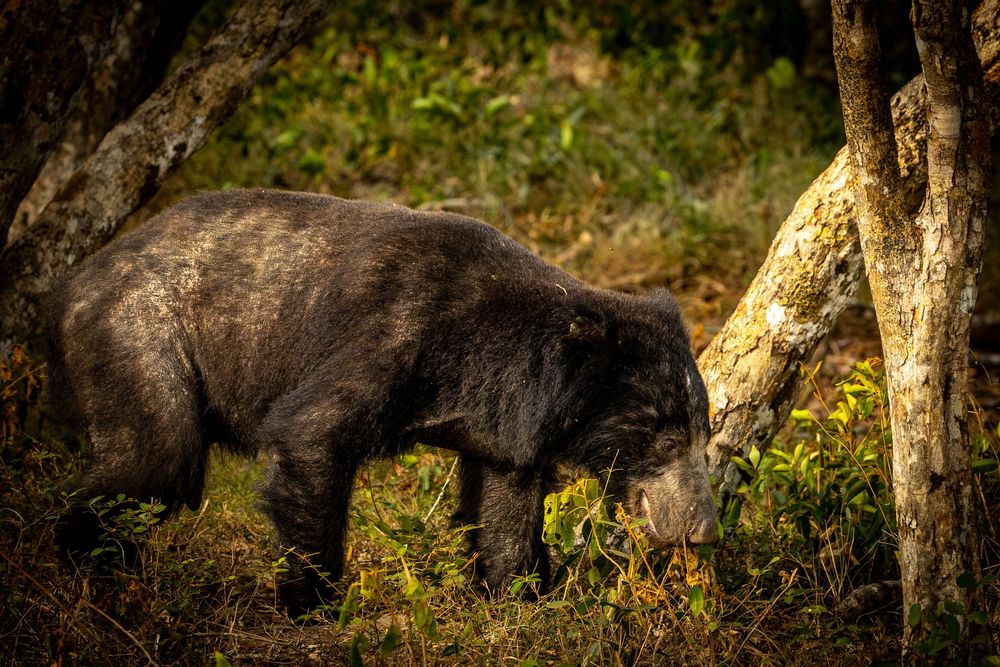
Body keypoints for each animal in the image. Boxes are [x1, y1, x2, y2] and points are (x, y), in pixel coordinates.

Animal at [46, 189, 718, 615]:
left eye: (702, 433)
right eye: (663, 434)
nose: (702, 531)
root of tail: (72, 283)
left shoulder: (502, 431)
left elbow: (504, 507)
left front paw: (520, 595)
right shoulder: (392, 336)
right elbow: (312, 432)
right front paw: (312, 602)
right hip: (142, 336)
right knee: (157, 461)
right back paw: (87, 566)